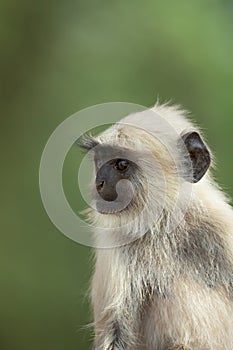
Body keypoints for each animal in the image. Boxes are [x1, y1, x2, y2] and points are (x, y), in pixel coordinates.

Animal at [78, 104, 233, 350]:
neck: (165, 229)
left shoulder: (223, 230)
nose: (99, 183)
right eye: (100, 160)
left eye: (121, 164)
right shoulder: (116, 246)